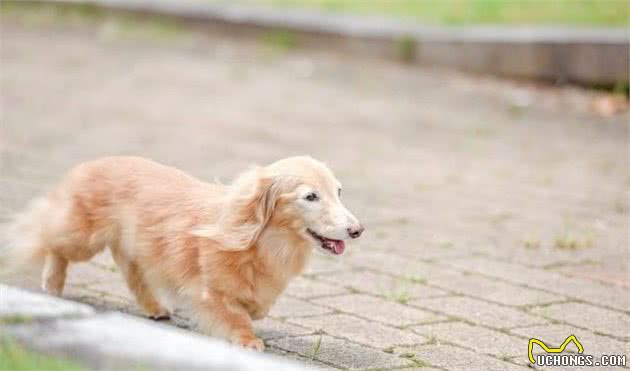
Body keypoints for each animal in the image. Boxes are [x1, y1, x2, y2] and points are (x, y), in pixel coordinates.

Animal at [0, 156, 366, 352]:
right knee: (51, 240)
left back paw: (154, 307)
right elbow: (236, 316)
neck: (265, 244)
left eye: (339, 192)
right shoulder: (209, 293)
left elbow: (257, 307)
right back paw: (52, 282)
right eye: (310, 196)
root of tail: (88, 165)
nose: (357, 230)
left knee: (131, 272)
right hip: (82, 238)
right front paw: (248, 340)